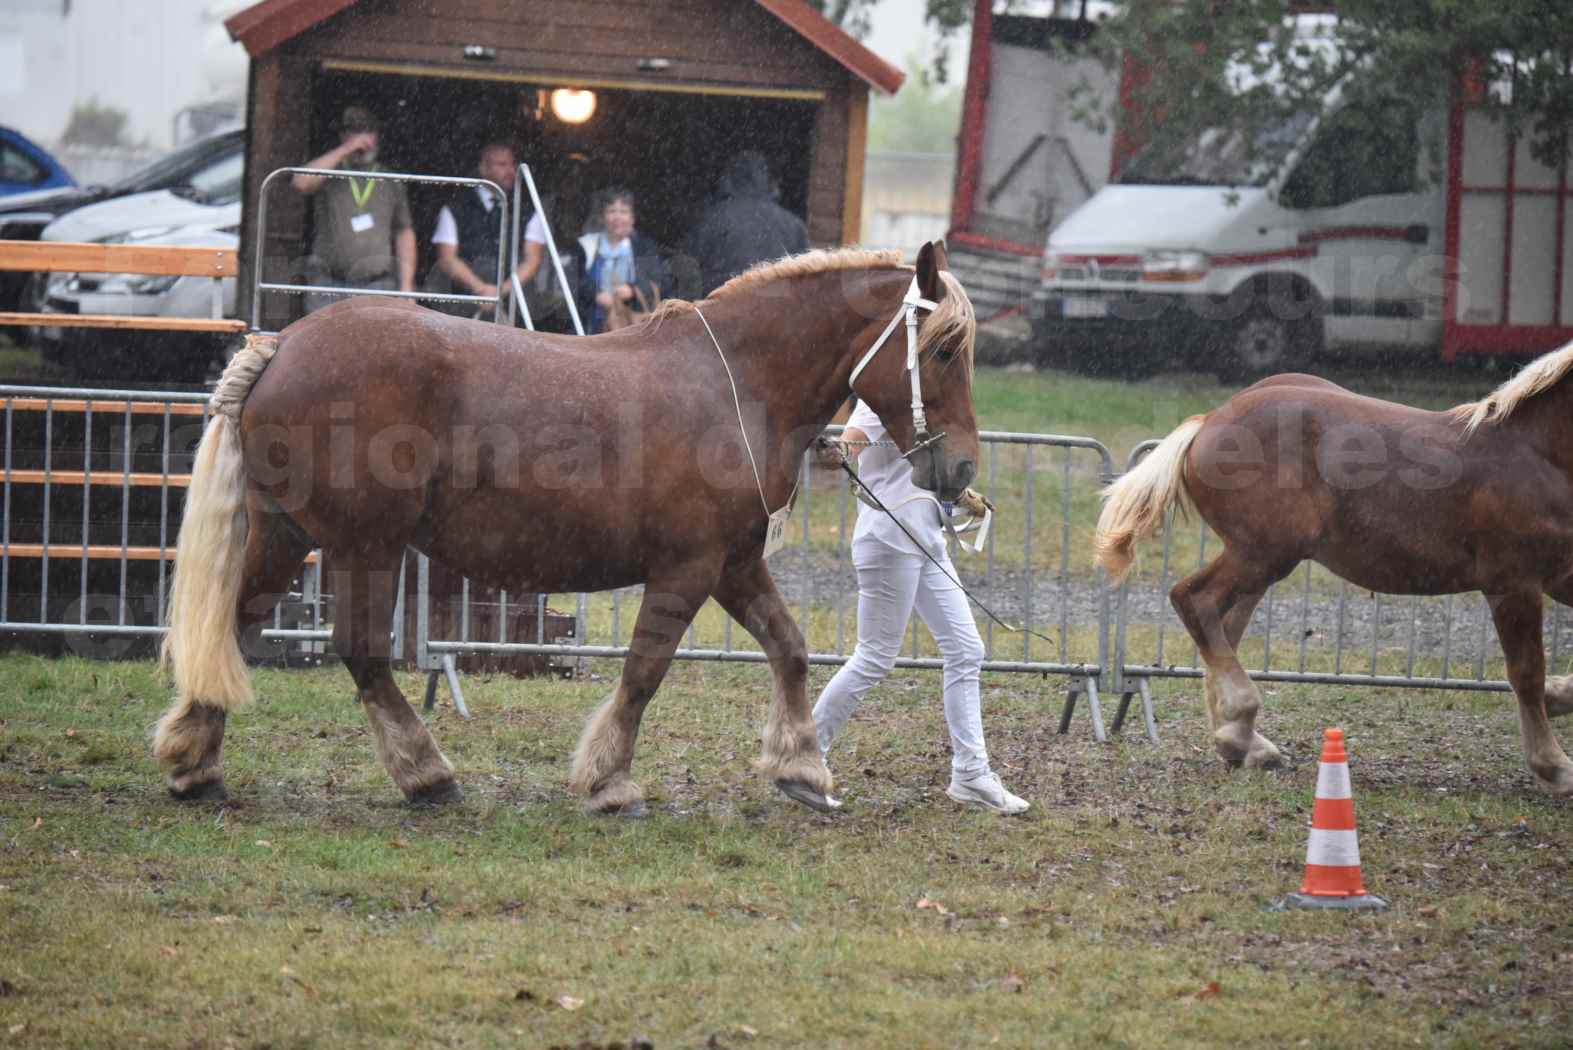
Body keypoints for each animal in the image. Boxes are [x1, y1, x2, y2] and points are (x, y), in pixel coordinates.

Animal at [153, 243, 975, 811]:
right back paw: (426, 774)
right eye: (943, 349)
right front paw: (609, 780)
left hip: (287, 535)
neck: (738, 384)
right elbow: (643, 673)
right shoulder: (686, 570)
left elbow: (791, 648)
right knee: (360, 653)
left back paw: (196, 763)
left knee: (235, 625)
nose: (962, 470)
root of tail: (281, 346)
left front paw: (801, 765)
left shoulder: (735, 565)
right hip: (365, 546)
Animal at [1101, 344, 1573, 795]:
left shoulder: (1560, 578)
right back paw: (1244, 726)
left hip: (1261, 562)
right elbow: (1527, 672)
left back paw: (1242, 743)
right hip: (1264, 553)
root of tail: (1209, 421)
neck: (1541, 455)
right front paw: (1555, 766)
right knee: (1195, 600)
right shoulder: (1513, 583)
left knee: (1221, 625)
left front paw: (1559, 698)